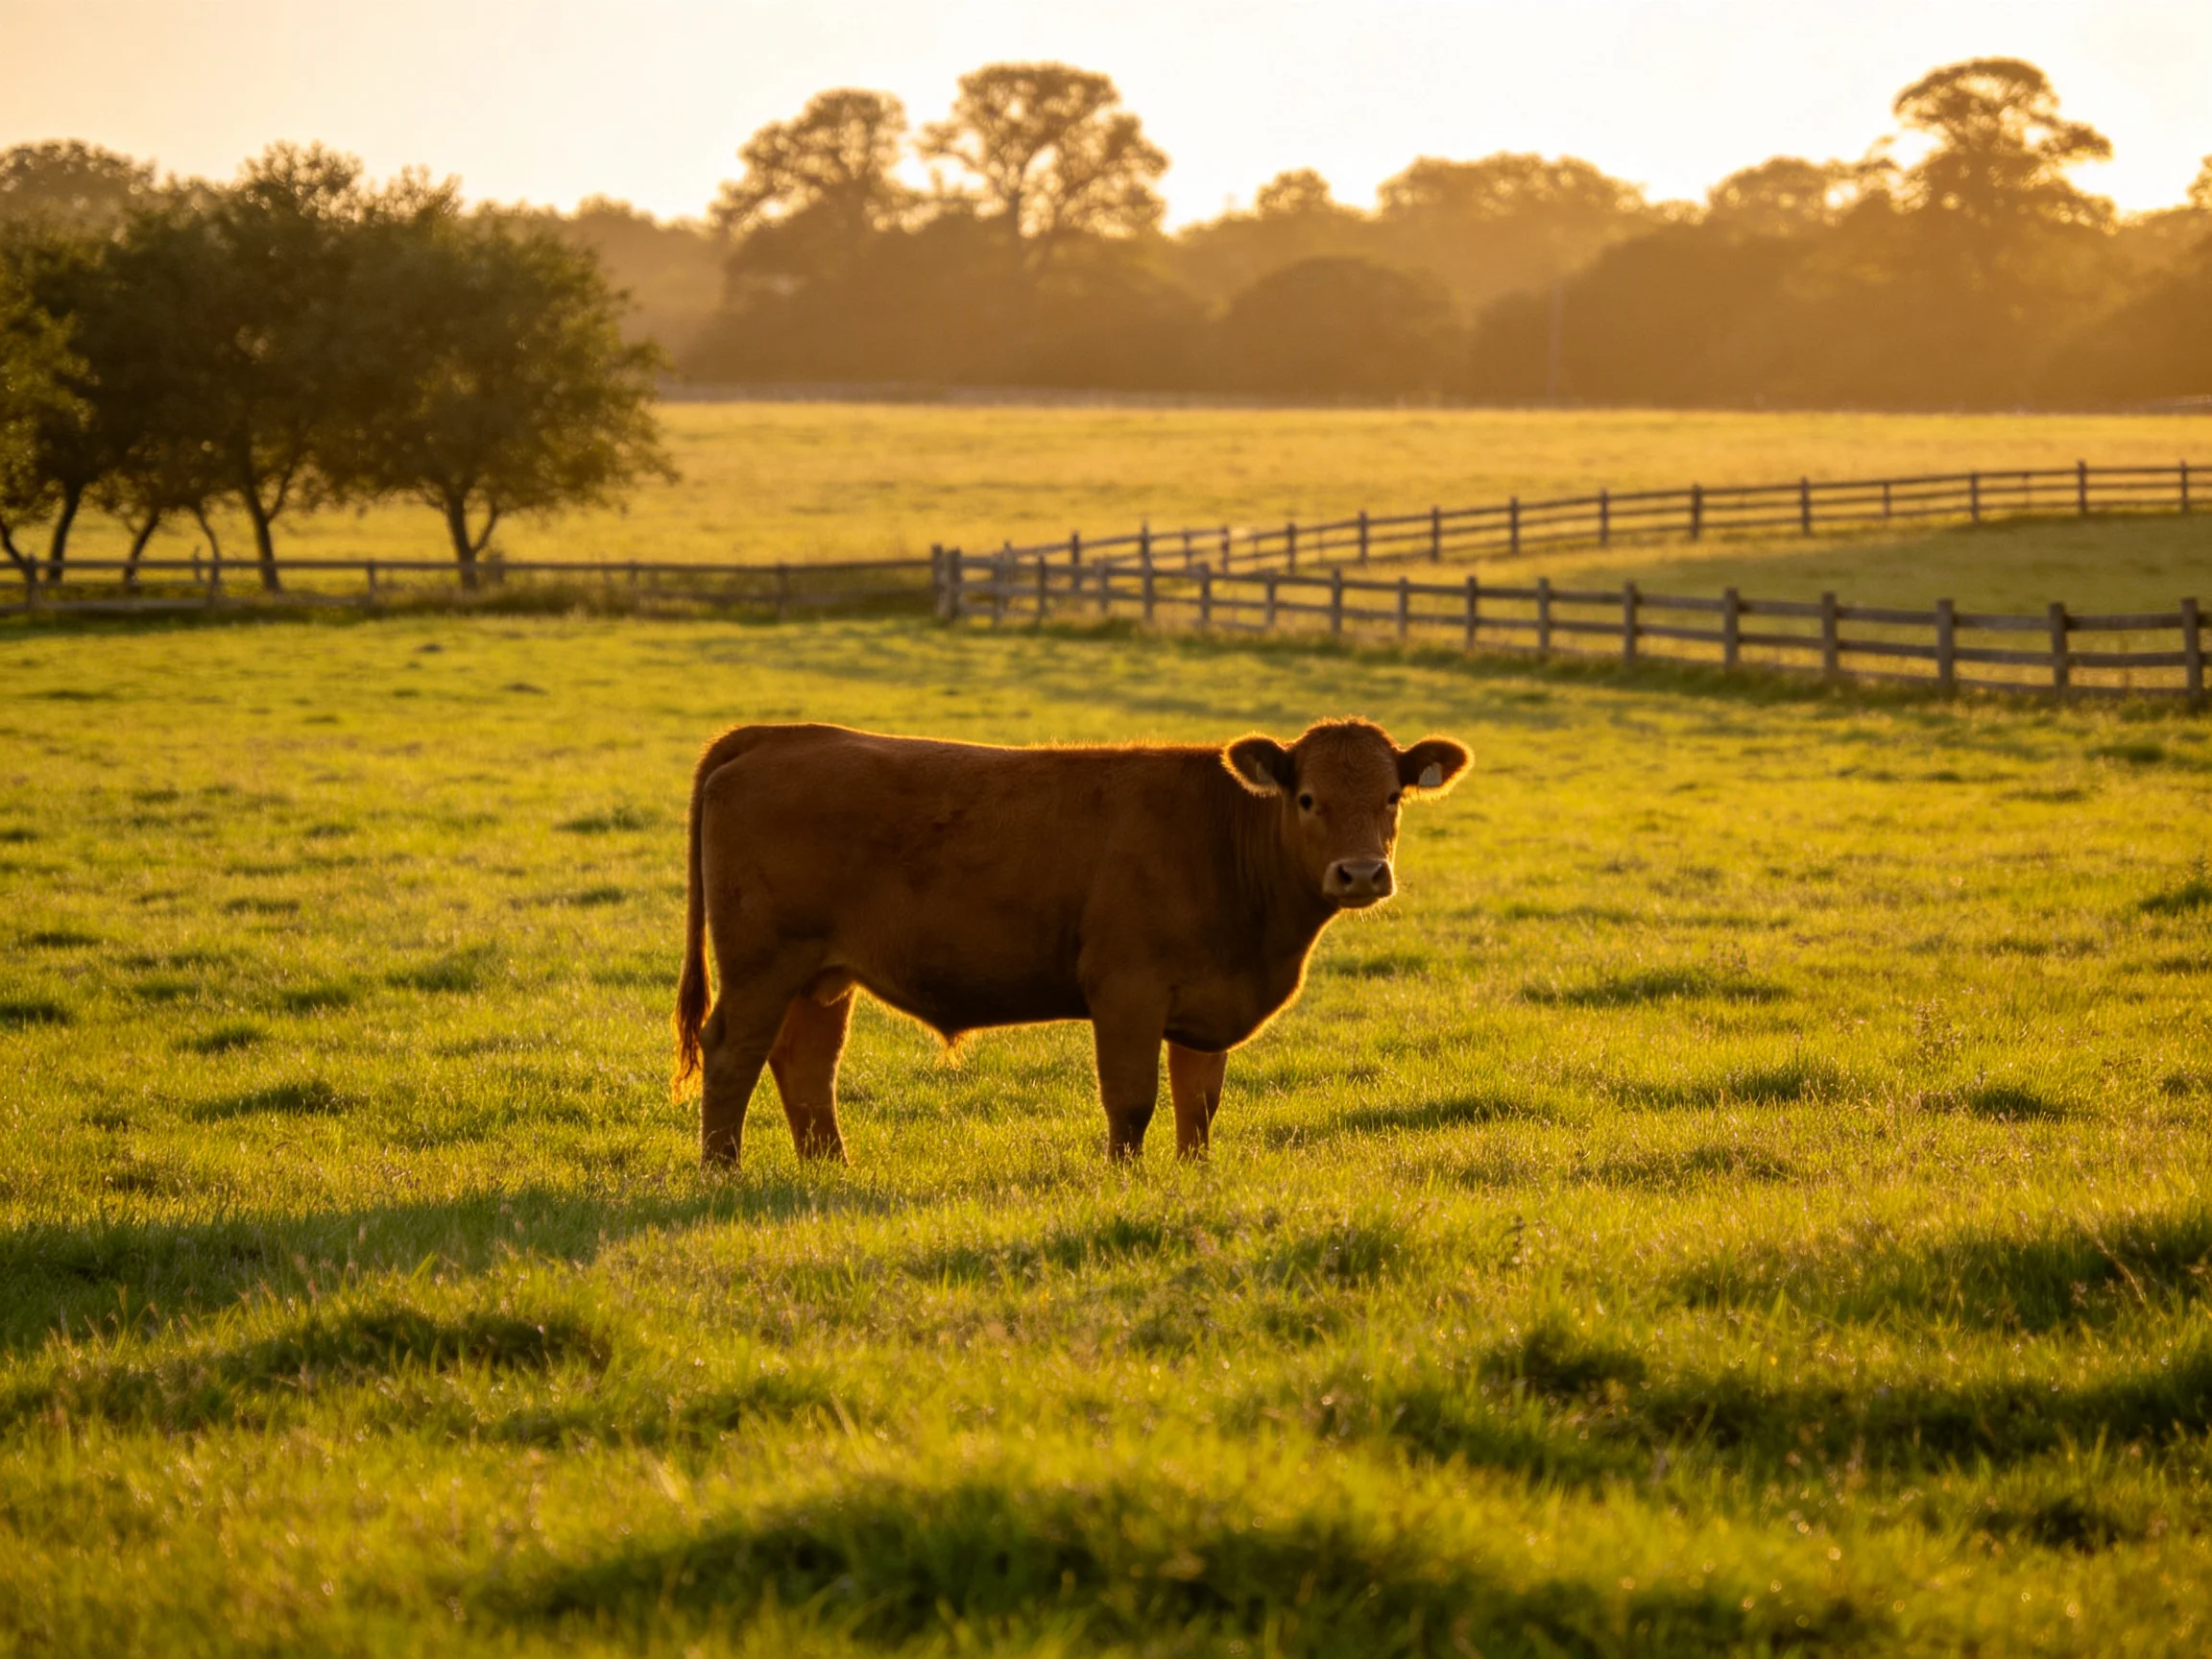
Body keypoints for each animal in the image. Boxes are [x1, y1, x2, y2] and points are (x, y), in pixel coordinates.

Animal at [672, 718, 1469, 1165]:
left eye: (1392, 798)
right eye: (1307, 799)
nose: (1360, 873)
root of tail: (779, 735)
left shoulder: (1203, 1007)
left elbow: (1198, 1103)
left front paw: (1194, 1177)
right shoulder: (1127, 991)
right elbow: (1132, 1100)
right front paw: (1125, 1179)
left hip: (821, 976)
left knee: (805, 1063)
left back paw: (830, 1167)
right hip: (762, 966)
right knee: (734, 1053)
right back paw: (722, 1170)